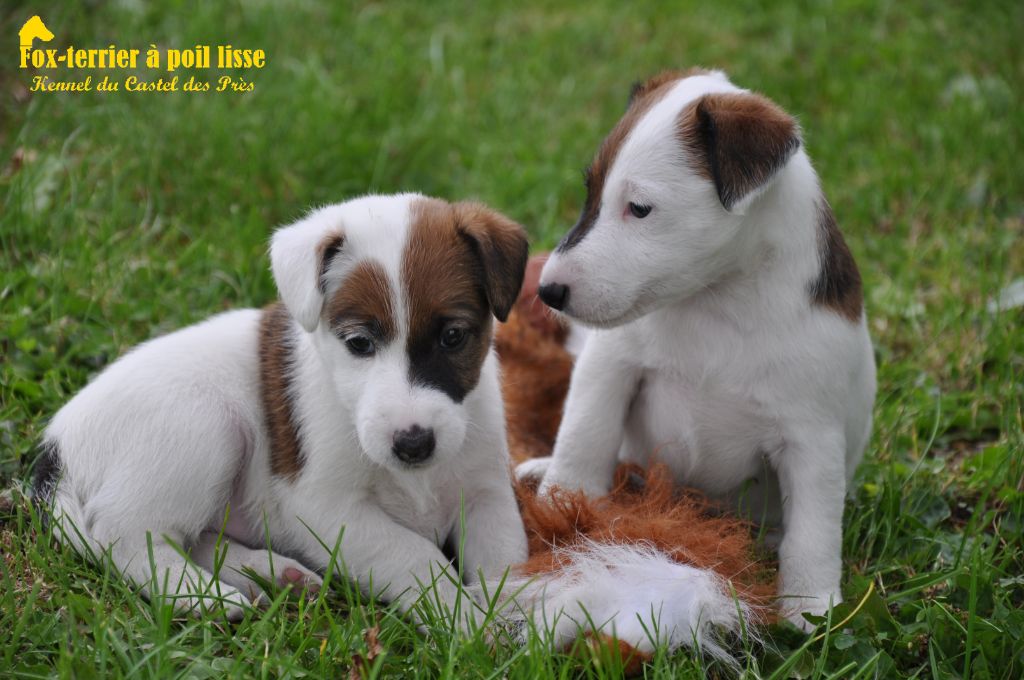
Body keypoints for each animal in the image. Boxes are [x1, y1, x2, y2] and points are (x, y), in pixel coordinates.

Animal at [34, 192, 528, 626]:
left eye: (453, 337)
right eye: (359, 343)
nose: (413, 443)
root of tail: (55, 446)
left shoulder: (487, 495)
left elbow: (507, 564)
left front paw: (517, 619)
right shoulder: (325, 509)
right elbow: (414, 554)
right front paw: (461, 617)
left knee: (194, 540)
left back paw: (273, 575)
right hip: (207, 428)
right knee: (126, 534)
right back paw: (199, 596)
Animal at [520, 71, 880, 630]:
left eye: (639, 208)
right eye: (590, 191)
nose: (548, 291)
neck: (713, 300)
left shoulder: (811, 437)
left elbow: (813, 532)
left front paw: (810, 607)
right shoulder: (610, 366)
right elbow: (584, 438)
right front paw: (563, 509)